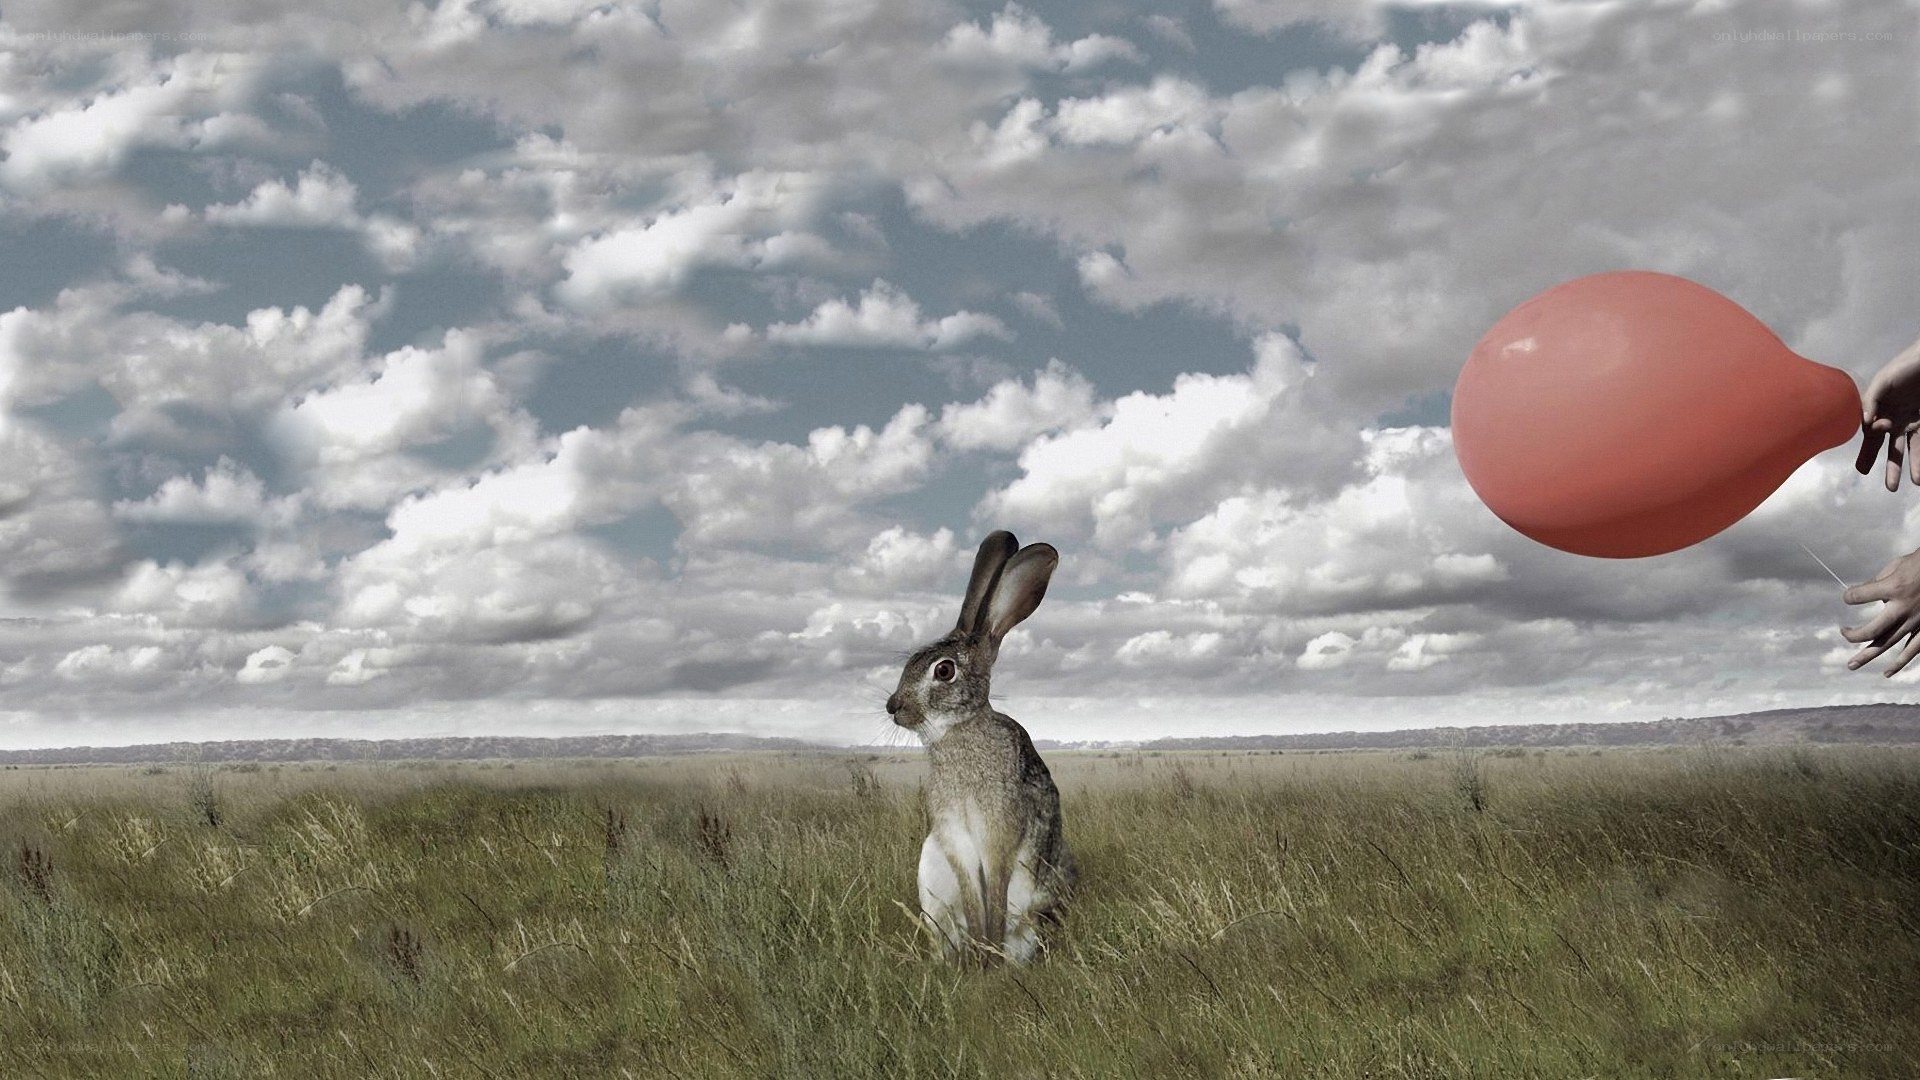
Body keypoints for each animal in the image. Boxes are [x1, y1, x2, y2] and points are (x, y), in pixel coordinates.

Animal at [886, 530, 1076, 964]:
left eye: (944, 670)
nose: (893, 707)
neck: (960, 731)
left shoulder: (998, 834)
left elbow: (996, 894)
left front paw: (990, 953)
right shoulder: (955, 839)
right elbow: (974, 899)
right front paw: (980, 955)